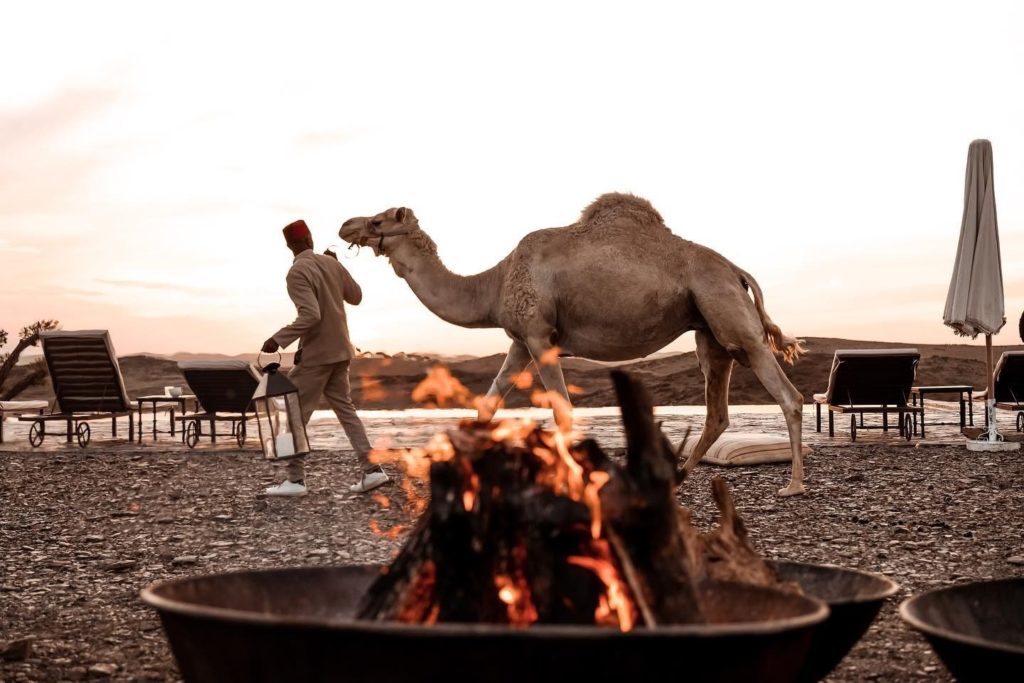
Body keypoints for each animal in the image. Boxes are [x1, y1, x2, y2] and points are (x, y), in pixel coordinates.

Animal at [339, 193, 808, 496]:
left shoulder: (540, 337)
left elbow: (563, 414)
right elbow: (487, 405)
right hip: (708, 328)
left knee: (787, 395)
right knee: (717, 410)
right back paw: (676, 479)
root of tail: (736, 269)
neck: (493, 284)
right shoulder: (520, 342)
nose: (345, 224)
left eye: (379, 220)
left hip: (727, 313)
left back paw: (794, 485)